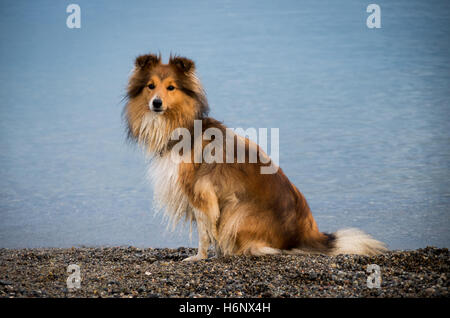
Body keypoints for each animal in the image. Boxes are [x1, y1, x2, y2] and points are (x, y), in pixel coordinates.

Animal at [124, 52, 386, 260]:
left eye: (171, 87)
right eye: (150, 86)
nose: (156, 103)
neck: (183, 127)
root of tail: (305, 234)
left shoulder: (200, 191)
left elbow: (204, 233)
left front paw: (198, 257)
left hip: (238, 211)